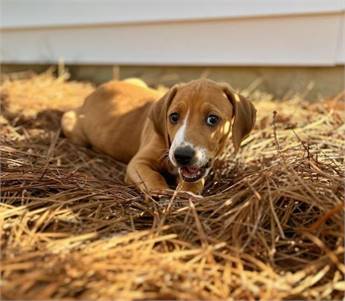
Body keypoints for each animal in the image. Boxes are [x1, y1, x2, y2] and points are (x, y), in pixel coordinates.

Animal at [61, 78, 255, 193]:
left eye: (212, 119)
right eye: (174, 117)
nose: (182, 155)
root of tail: (92, 93)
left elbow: (193, 181)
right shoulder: (138, 163)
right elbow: (153, 177)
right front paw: (162, 193)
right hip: (70, 124)